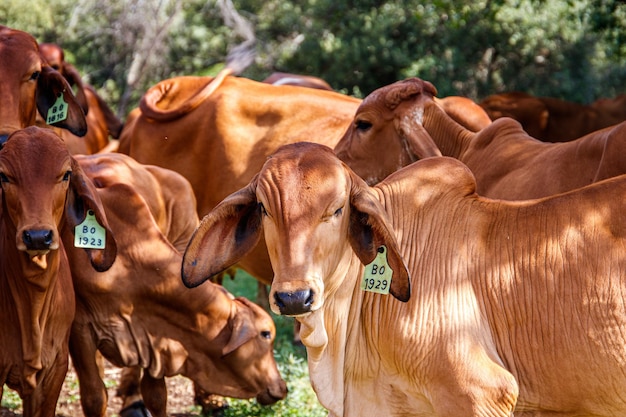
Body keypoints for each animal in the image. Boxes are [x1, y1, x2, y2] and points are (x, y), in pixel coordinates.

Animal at [64, 153, 286, 416]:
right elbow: (94, 396)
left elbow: (157, 395)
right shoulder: (80, 329)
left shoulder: (156, 337)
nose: (282, 387)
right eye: (266, 334)